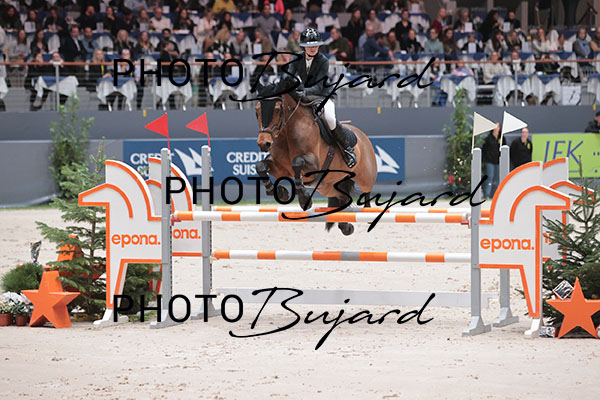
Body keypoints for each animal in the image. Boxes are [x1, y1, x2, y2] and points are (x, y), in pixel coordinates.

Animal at [254, 85, 377, 235]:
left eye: (277, 110)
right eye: (257, 111)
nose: (263, 144)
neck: (287, 133)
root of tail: (363, 136)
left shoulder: (314, 166)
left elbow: (297, 162)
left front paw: (304, 198)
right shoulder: (280, 168)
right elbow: (260, 166)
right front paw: (280, 192)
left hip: (365, 177)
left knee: (367, 191)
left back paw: (369, 214)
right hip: (327, 187)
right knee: (343, 197)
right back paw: (345, 226)